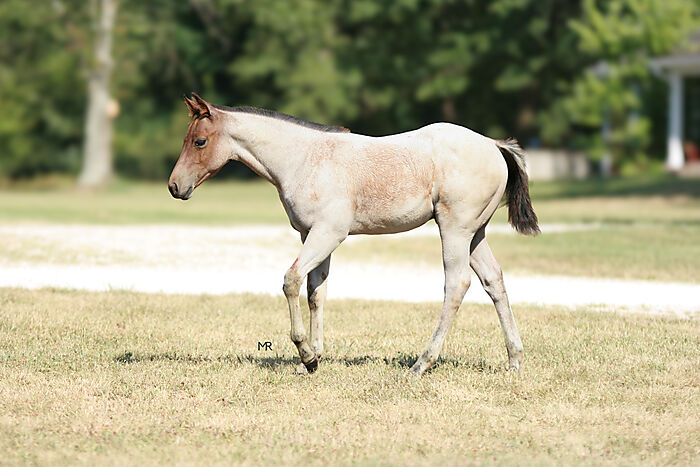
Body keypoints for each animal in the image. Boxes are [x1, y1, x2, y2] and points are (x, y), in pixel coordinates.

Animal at [169, 93, 539, 377]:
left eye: (199, 141)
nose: (174, 186)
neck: (305, 159)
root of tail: (493, 144)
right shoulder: (311, 235)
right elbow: (316, 292)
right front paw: (314, 359)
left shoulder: (329, 233)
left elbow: (291, 280)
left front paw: (305, 353)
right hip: (475, 233)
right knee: (494, 280)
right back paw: (514, 360)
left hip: (455, 230)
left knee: (456, 286)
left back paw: (421, 364)